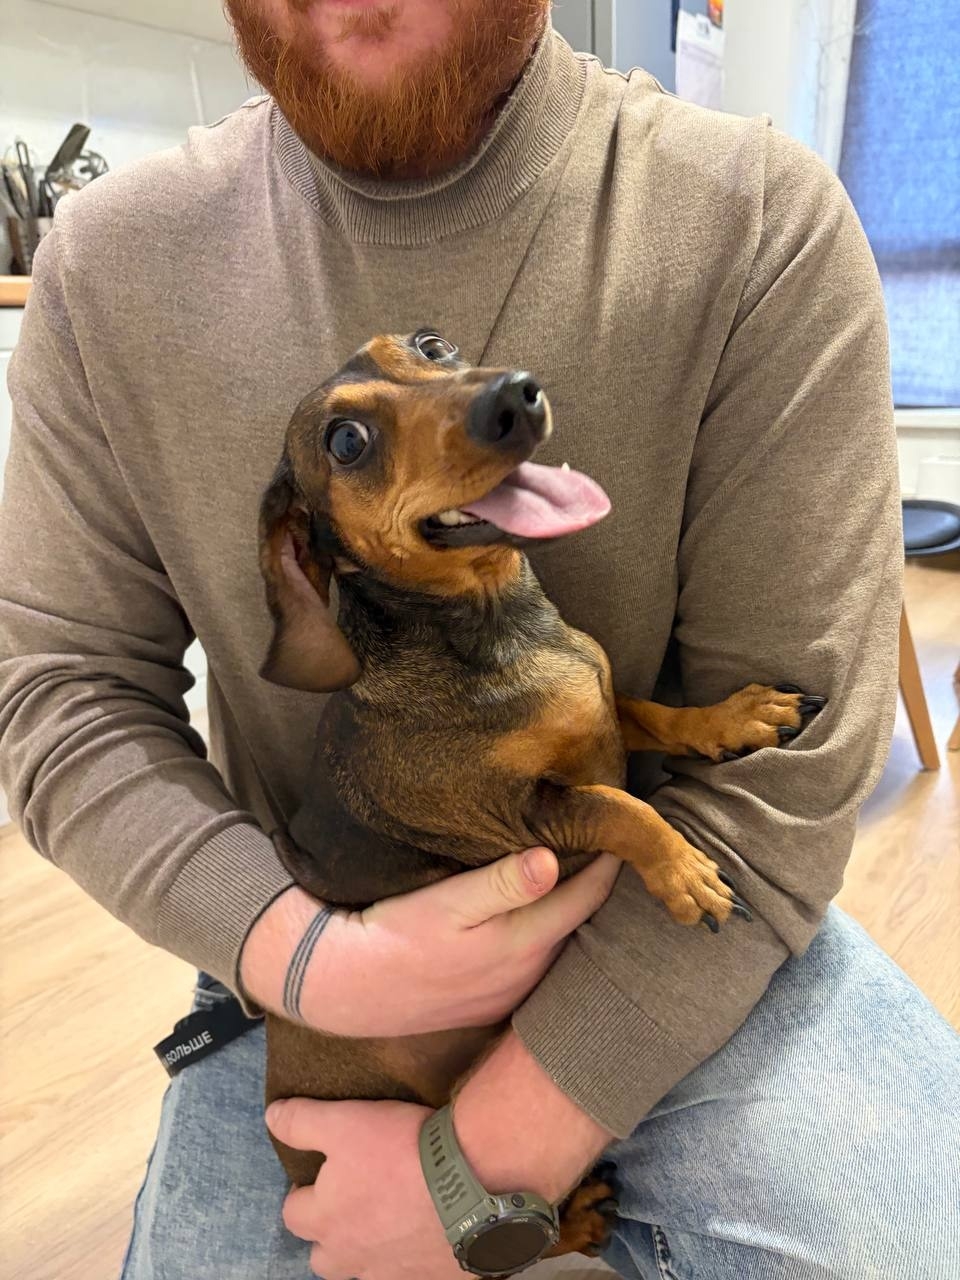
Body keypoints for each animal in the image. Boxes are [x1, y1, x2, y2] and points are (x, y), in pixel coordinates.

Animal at [256, 330, 825, 1257]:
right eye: (346, 441)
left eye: (430, 345)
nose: (515, 397)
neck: (497, 627)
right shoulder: (527, 820)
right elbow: (622, 806)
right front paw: (684, 873)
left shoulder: (604, 712)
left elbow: (652, 712)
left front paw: (734, 717)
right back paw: (577, 1220)